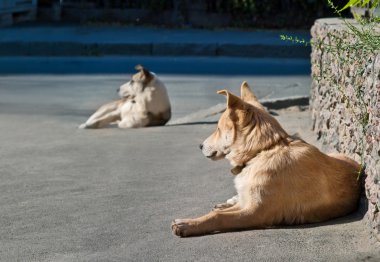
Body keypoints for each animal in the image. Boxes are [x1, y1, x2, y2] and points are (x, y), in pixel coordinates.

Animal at [171, 82, 360, 237]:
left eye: (217, 129)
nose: (200, 146)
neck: (263, 151)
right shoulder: (249, 203)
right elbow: (219, 212)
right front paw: (192, 221)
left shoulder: (256, 212)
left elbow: (218, 217)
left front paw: (187, 225)